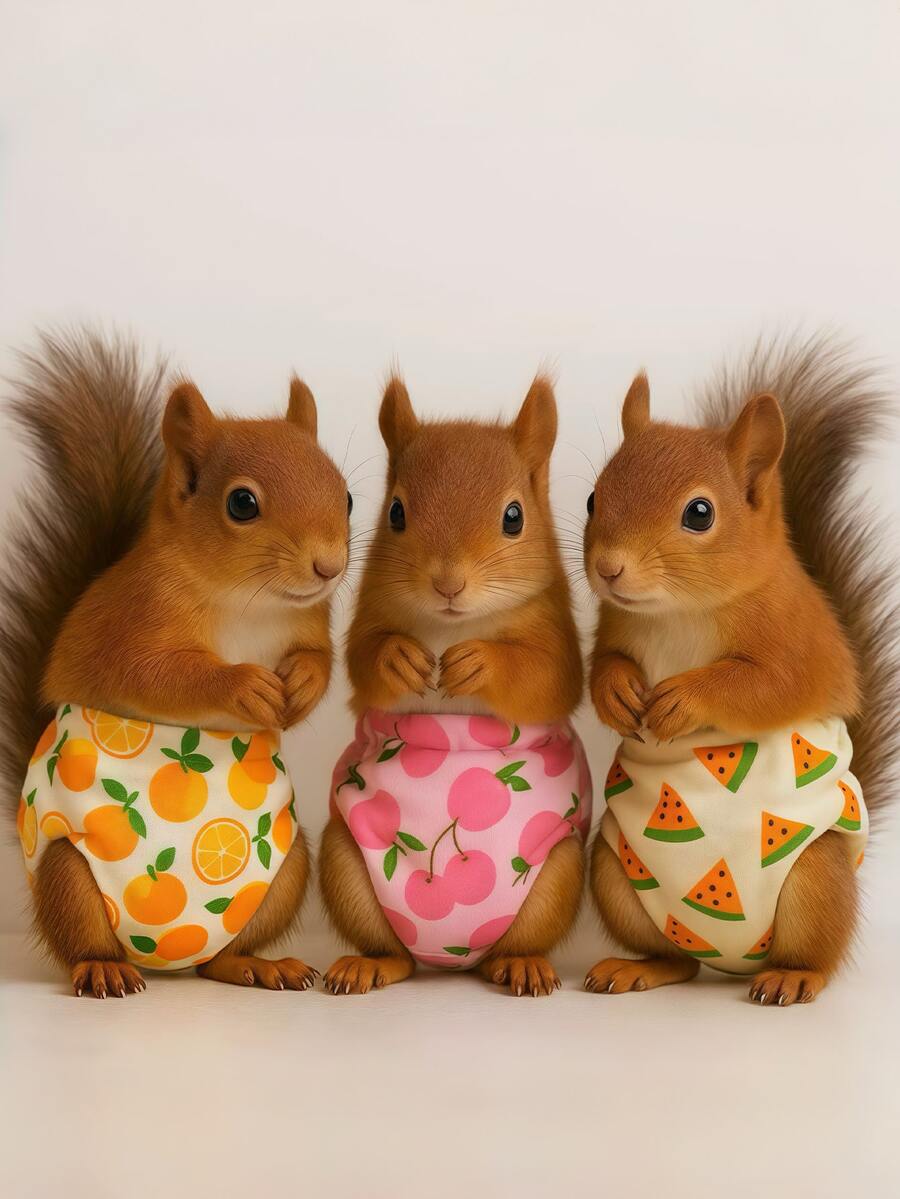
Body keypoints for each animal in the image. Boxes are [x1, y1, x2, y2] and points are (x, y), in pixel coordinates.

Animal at [1, 328, 350, 998]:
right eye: (241, 503)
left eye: (346, 494)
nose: (329, 567)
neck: (247, 602)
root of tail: (163, 961)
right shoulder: (131, 626)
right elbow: (160, 675)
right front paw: (244, 687)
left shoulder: (308, 622)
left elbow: (319, 657)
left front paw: (301, 683)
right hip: (67, 871)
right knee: (82, 938)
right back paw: (102, 968)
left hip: (287, 868)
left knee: (218, 960)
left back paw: (256, 965)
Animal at [319, 374, 591, 996]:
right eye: (395, 512)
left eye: (514, 517)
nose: (447, 582)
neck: (452, 626)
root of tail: (451, 958)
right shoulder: (369, 616)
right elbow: (363, 660)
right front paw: (400, 658)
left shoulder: (556, 636)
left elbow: (545, 674)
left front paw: (479, 663)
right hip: (345, 860)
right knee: (393, 951)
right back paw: (372, 964)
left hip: (559, 871)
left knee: (509, 948)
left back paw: (518, 964)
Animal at [582, 336, 897, 1005]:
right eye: (594, 497)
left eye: (700, 513)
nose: (608, 569)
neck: (679, 611)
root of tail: (733, 963)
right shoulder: (616, 627)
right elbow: (606, 663)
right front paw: (616, 692)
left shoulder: (799, 644)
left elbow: (762, 687)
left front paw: (684, 700)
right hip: (617, 874)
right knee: (676, 960)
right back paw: (638, 968)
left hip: (813, 880)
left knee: (815, 953)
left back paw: (794, 977)